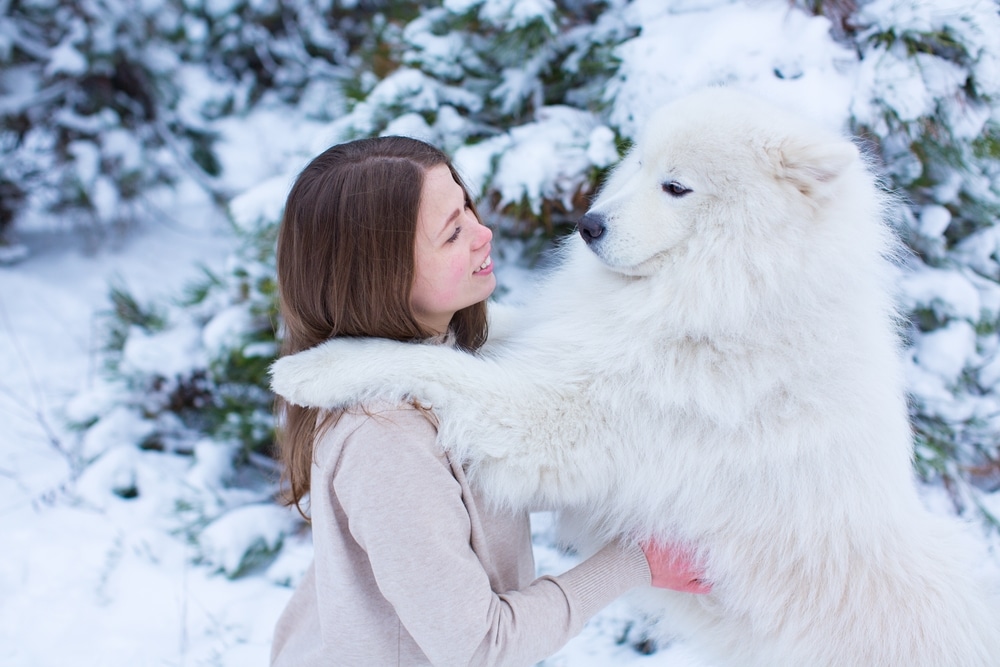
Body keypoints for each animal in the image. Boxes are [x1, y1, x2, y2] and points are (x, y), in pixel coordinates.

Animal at [272, 90, 1000, 667]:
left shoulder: (558, 421)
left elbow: (434, 362)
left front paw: (317, 365)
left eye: (675, 187)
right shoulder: (566, 342)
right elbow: (482, 338)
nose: (586, 223)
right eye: (640, 165)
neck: (732, 301)